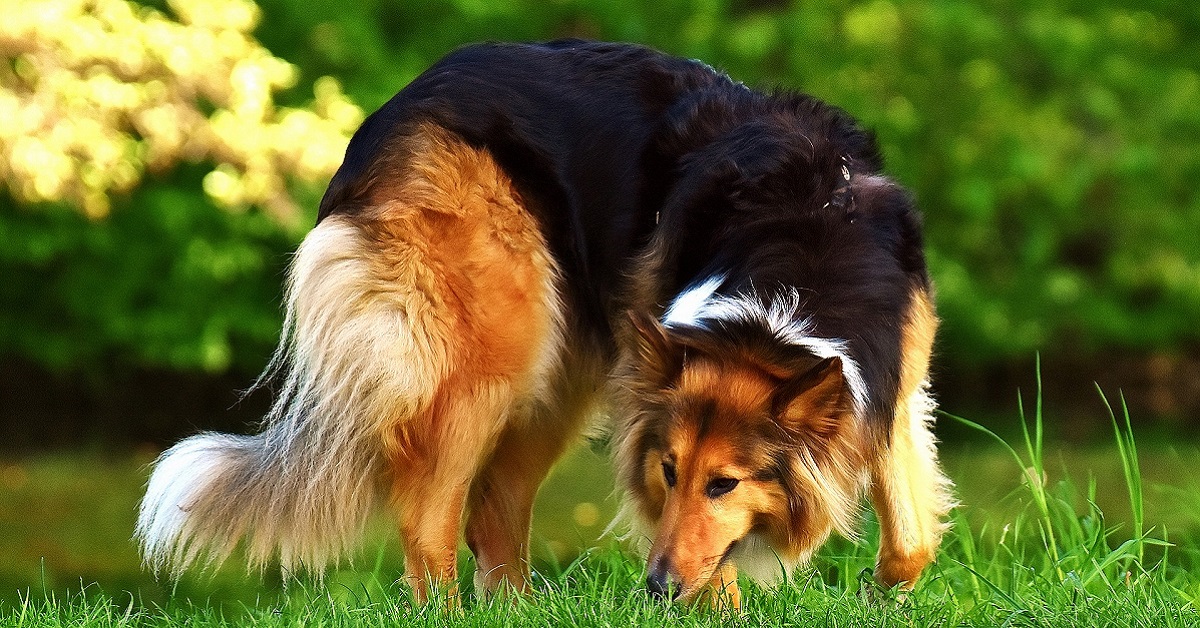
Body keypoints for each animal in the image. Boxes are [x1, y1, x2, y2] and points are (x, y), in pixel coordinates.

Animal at [136, 38, 950, 605]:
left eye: (726, 483)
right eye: (669, 470)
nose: (655, 589)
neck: (800, 238)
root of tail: (386, 117)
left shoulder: (890, 386)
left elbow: (911, 539)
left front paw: (882, 596)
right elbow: (711, 565)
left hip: (567, 360)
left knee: (493, 508)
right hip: (492, 351)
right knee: (431, 521)